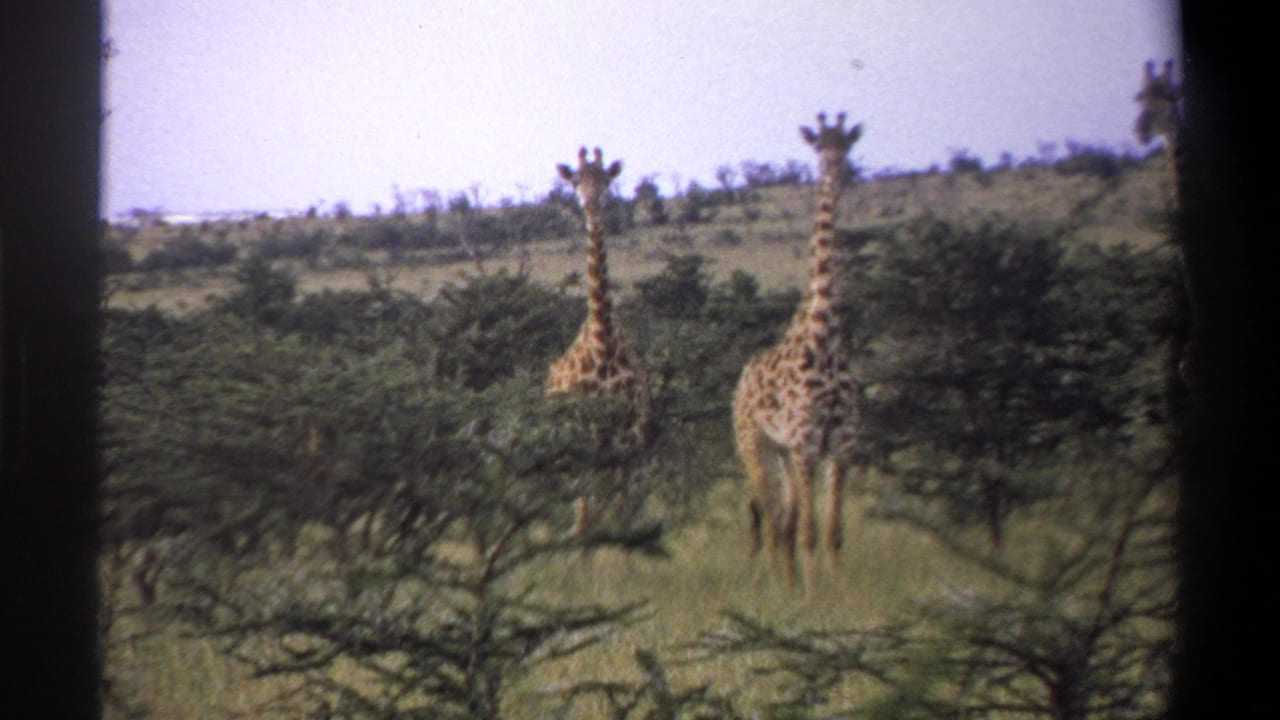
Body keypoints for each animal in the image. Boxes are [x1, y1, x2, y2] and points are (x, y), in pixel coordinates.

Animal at [546, 147, 652, 538]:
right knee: (582, 501)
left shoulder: (630, 436)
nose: (591, 207)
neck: (603, 345)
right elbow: (592, 507)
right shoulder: (591, 435)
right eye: (576, 180)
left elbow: (624, 508)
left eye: (605, 179)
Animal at [732, 112, 862, 592]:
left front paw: (842, 588)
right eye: (819, 147)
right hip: (756, 446)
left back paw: (784, 578)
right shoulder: (806, 442)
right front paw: (811, 593)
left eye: (847, 145)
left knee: (782, 518)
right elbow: (808, 529)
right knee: (772, 520)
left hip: (784, 453)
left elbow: (833, 530)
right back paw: (778, 584)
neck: (825, 337)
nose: (837, 170)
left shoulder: (842, 443)